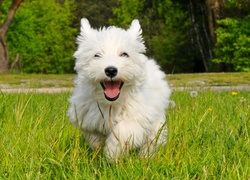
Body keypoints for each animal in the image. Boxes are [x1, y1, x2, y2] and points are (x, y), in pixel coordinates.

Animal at [67, 18, 171, 161]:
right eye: (97, 55)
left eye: (124, 54)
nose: (111, 70)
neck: (111, 104)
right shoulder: (84, 115)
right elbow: (93, 135)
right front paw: (99, 147)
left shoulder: (138, 116)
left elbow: (123, 130)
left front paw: (112, 153)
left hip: (156, 121)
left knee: (152, 140)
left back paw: (145, 157)